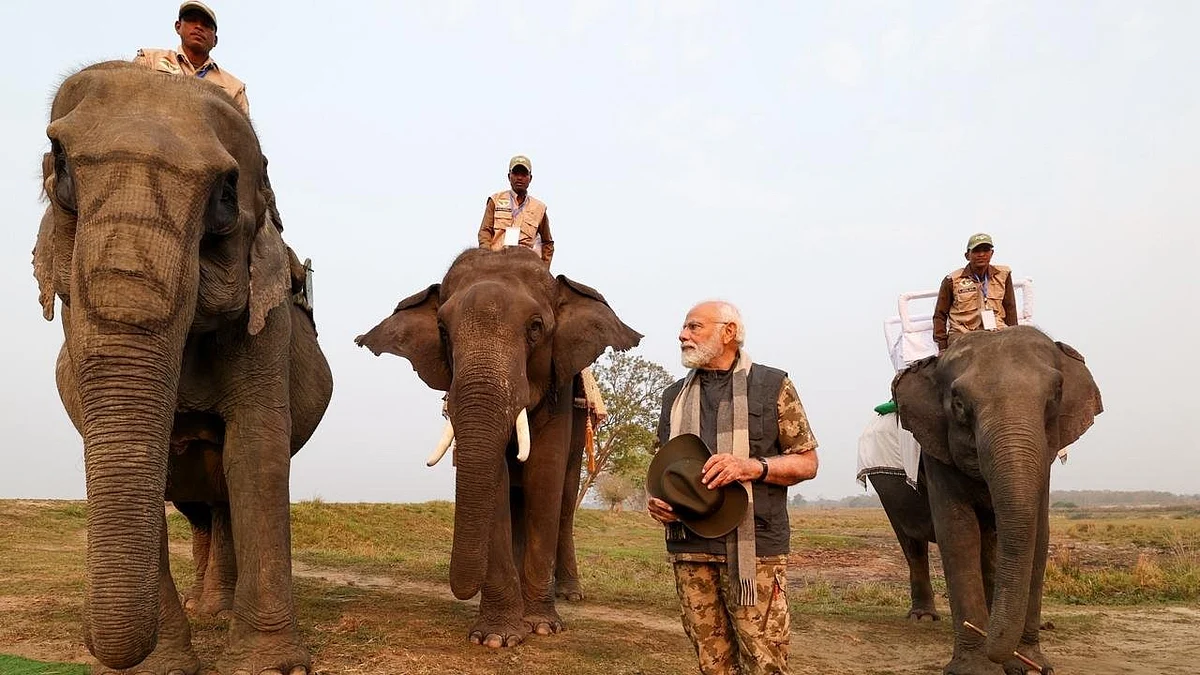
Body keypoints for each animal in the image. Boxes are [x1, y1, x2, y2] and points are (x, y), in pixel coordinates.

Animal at [33, 62, 332, 675]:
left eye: (225, 194)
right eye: (61, 166)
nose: (89, 638)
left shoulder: (265, 322)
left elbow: (256, 452)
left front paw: (274, 667)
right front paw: (162, 667)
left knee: (222, 498)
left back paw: (218, 610)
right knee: (199, 505)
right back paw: (206, 609)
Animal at [356, 246, 641, 647]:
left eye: (536, 328)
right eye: (443, 331)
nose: (462, 588)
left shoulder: (559, 389)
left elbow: (544, 476)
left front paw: (542, 626)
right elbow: (498, 483)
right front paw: (496, 637)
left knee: (565, 501)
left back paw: (570, 594)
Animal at [893, 326, 1101, 675]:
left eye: (1055, 395)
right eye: (959, 403)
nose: (1012, 662)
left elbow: (1038, 535)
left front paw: (1031, 665)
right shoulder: (936, 449)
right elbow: (958, 533)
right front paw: (977, 669)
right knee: (912, 542)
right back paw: (922, 618)